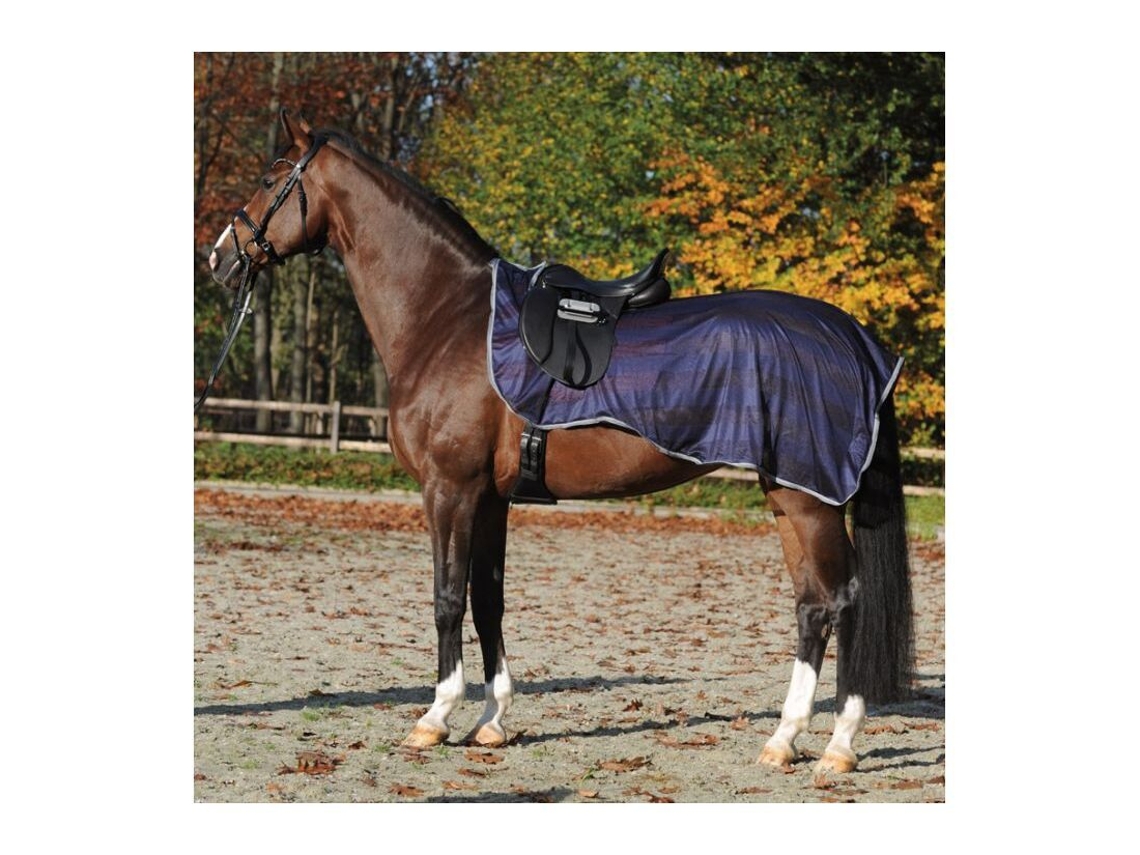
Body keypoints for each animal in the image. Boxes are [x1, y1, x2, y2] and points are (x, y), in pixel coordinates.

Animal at [205, 110, 914, 775]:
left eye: (269, 177)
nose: (218, 257)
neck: (447, 317)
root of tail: (853, 338)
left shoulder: (449, 490)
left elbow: (446, 598)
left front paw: (435, 718)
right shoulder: (491, 498)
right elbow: (488, 601)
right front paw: (491, 722)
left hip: (811, 501)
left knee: (843, 602)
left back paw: (839, 746)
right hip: (788, 495)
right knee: (812, 605)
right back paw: (783, 739)